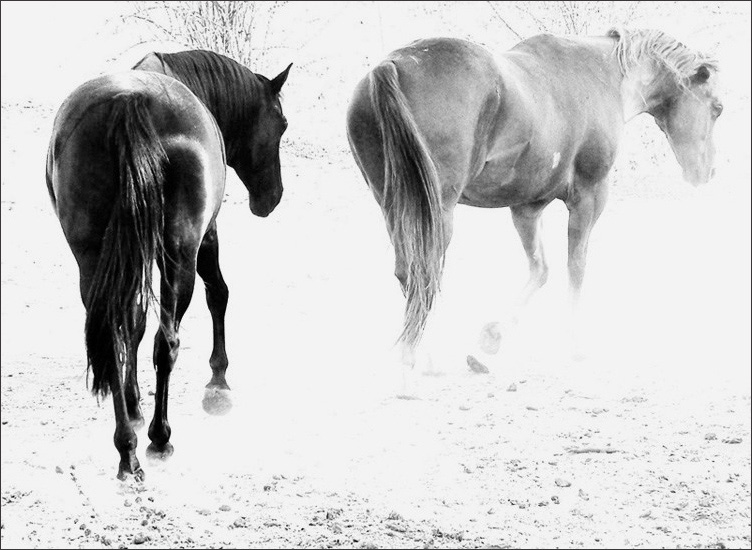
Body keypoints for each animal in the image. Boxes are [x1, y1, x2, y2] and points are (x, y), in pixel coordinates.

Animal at [44, 52, 290, 484]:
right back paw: (159, 438)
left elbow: (134, 323)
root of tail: (128, 103)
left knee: (114, 334)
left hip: (92, 257)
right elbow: (218, 294)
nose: (272, 197)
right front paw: (218, 382)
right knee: (168, 341)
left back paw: (127, 448)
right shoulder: (207, 236)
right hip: (180, 253)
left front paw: (133, 404)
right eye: (281, 125)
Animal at [346, 28, 724, 378]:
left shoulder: (527, 207)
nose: (707, 171)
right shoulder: (589, 198)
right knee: (423, 272)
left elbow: (540, 270)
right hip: (436, 212)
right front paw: (575, 343)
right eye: (717, 107)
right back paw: (426, 355)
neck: (604, 74)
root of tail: (393, 64)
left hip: (396, 207)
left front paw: (493, 337)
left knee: (407, 272)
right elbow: (576, 268)